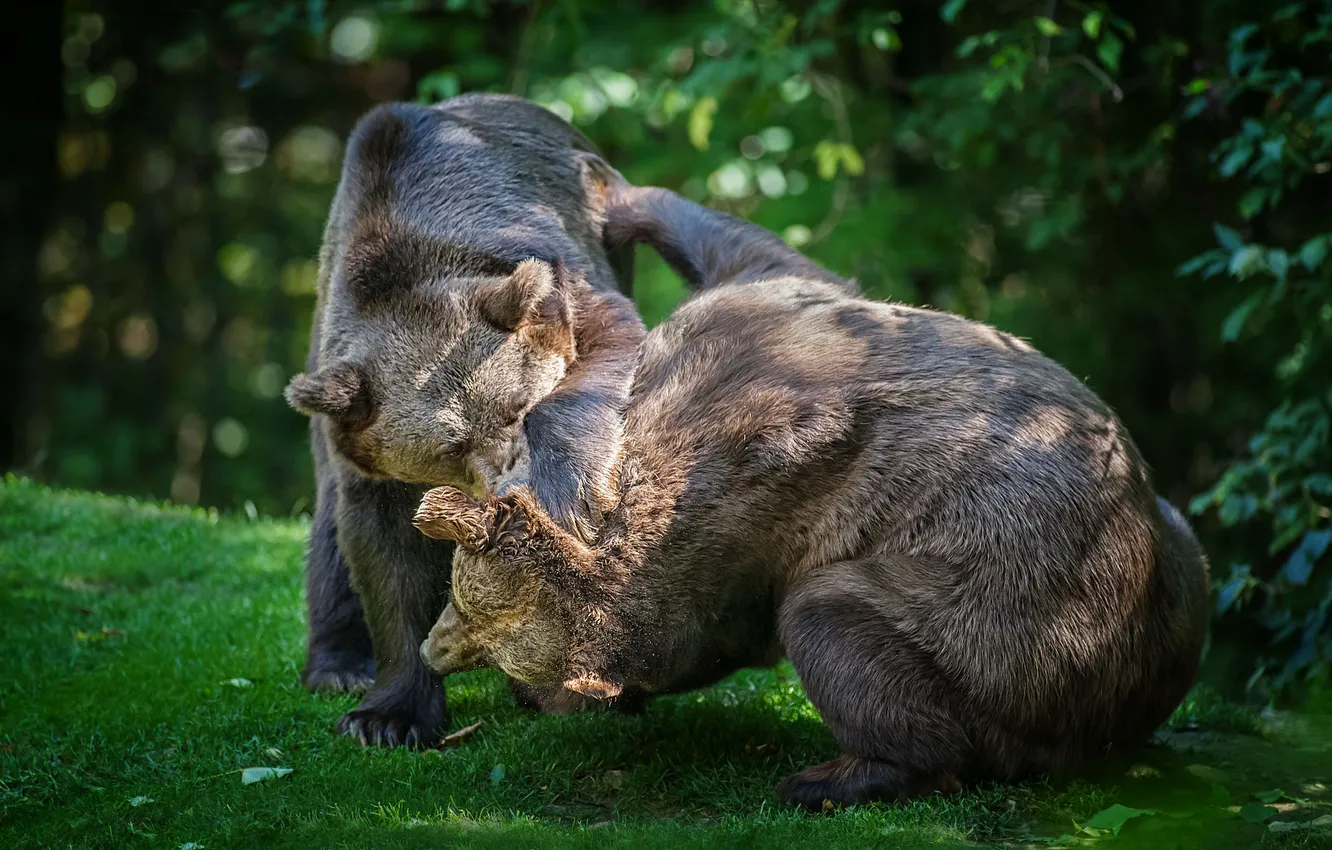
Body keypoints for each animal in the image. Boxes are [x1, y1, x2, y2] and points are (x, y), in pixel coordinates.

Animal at [283, 93, 649, 748]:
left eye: (519, 408)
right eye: (450, 447)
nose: (507, 486)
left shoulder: (561, 275)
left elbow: (602, 350)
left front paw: (567, 493)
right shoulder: (365, 446)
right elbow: (385, 554)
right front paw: (388, 716)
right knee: (327, 535)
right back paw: (338, 667)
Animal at [411, 178, 1211, 806]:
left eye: (480, 626)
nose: (433, 648)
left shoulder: (760, 468)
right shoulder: (772, 317)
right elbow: (765, 255)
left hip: (1014, 608)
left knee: (842, 620)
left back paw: (832, 778)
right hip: (1172, 558)